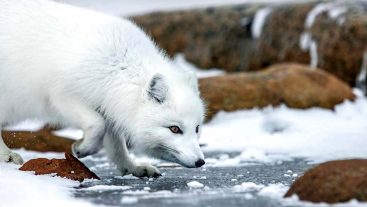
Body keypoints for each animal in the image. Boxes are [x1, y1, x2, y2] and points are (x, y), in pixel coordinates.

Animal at [0, 0, 207, 177]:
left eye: (197, 128)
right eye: (174, 129)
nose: (200, 162)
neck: (117, 68)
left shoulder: (110, 106)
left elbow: (117, 146)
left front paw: (132, 167)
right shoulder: (63, 97)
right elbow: (97, 124)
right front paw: (82, 148)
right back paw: (7, 156)